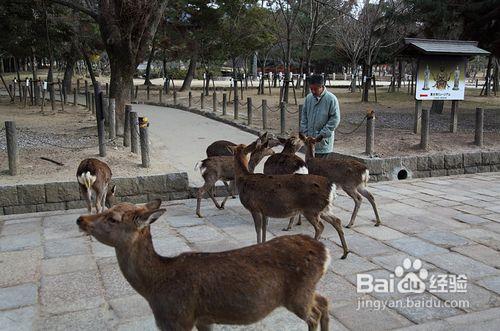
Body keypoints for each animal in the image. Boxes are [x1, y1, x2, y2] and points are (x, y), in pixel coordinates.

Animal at [77, 200, 332, 331]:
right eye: (108, 207)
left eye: (113, 218)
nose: (81, 219)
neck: (154, 288)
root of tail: (325, 252)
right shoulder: (204, 319)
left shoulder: (179, 319)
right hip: (307, 291)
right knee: (324, 301)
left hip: (297, 295)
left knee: (314, 313)